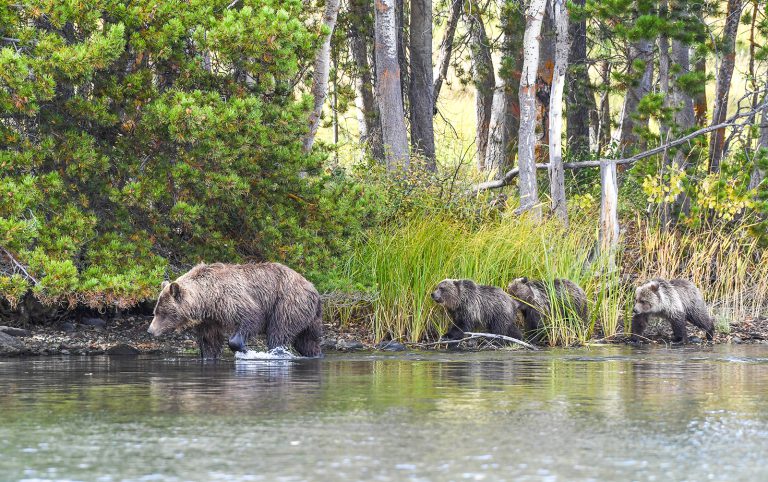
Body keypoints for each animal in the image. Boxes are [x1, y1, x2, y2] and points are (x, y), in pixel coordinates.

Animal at [146, 264, 320, 358]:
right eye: (155, 311)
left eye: (163, 312)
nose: (150, 330)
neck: (207, 300)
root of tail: (313, 289)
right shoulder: (209, 320)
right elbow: (209, 342)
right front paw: (209, 355)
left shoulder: (231, 300)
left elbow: (251, 318)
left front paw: (243, 348)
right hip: (308, 316)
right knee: (308, 341)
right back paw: (315, 354)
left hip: (288, 303)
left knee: (279, 333)